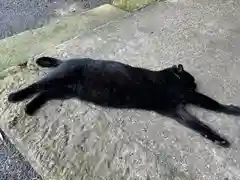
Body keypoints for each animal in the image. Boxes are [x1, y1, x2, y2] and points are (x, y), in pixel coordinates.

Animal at [7, 56, 240, 148]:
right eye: (191, 81)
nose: (195, 85)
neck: (168, 78)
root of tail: (66, 60)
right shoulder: (185, 98)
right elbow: (214, 105)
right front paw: (234, 110)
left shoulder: (176, 110)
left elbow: (199, 126)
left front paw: (217, 139)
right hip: (58, 79)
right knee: (36, 86)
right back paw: (15, 97)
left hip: (63, 91)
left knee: (43, 94)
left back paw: (29, 108)